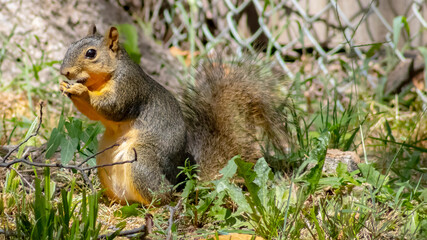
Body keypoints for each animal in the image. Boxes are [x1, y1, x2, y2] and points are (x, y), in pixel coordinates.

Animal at [58, 25, 290, 206]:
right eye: (70, 46)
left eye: (91, 53)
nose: (64, 72)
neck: (103, 79)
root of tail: (180, 179)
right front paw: (65, 87)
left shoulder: (129, 87)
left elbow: (113, 107)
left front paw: (81, 91)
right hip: (105, 163)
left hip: (142, 162)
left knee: (163, 196)